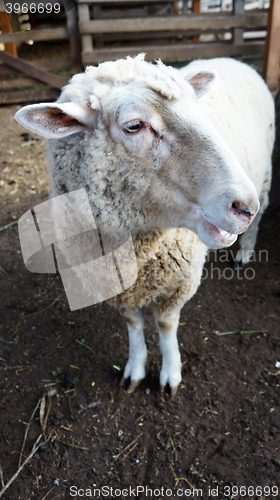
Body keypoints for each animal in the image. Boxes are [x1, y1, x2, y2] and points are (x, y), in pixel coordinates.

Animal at [14, 54, 274, 398]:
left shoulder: (180, 282)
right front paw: (135, 369)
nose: (244, 206)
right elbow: (133, 325)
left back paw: (246, 250)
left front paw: (170, 374)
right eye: (134, 126)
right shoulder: (117, 287)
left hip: (265, 175)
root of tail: (232, 59)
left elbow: (165, 325)